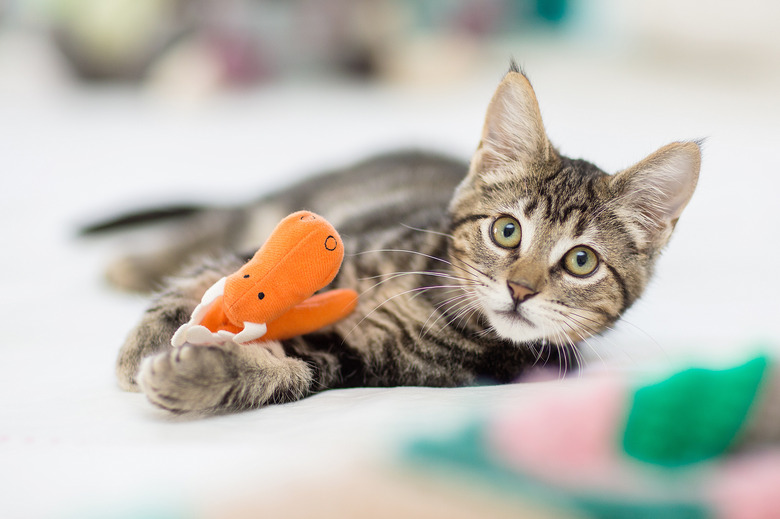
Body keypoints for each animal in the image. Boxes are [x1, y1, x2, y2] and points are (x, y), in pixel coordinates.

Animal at [106, 65, 696, 414]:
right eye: (507, 231)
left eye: (580, 262)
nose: (521, 290)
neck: (437, 303)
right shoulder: (331, 248)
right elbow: (215, 278)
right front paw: (149, 342)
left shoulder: (358, 361)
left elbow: (289, 372)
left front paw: (198, 375)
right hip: (288, 203)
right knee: (220, 222)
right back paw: (132, 265)